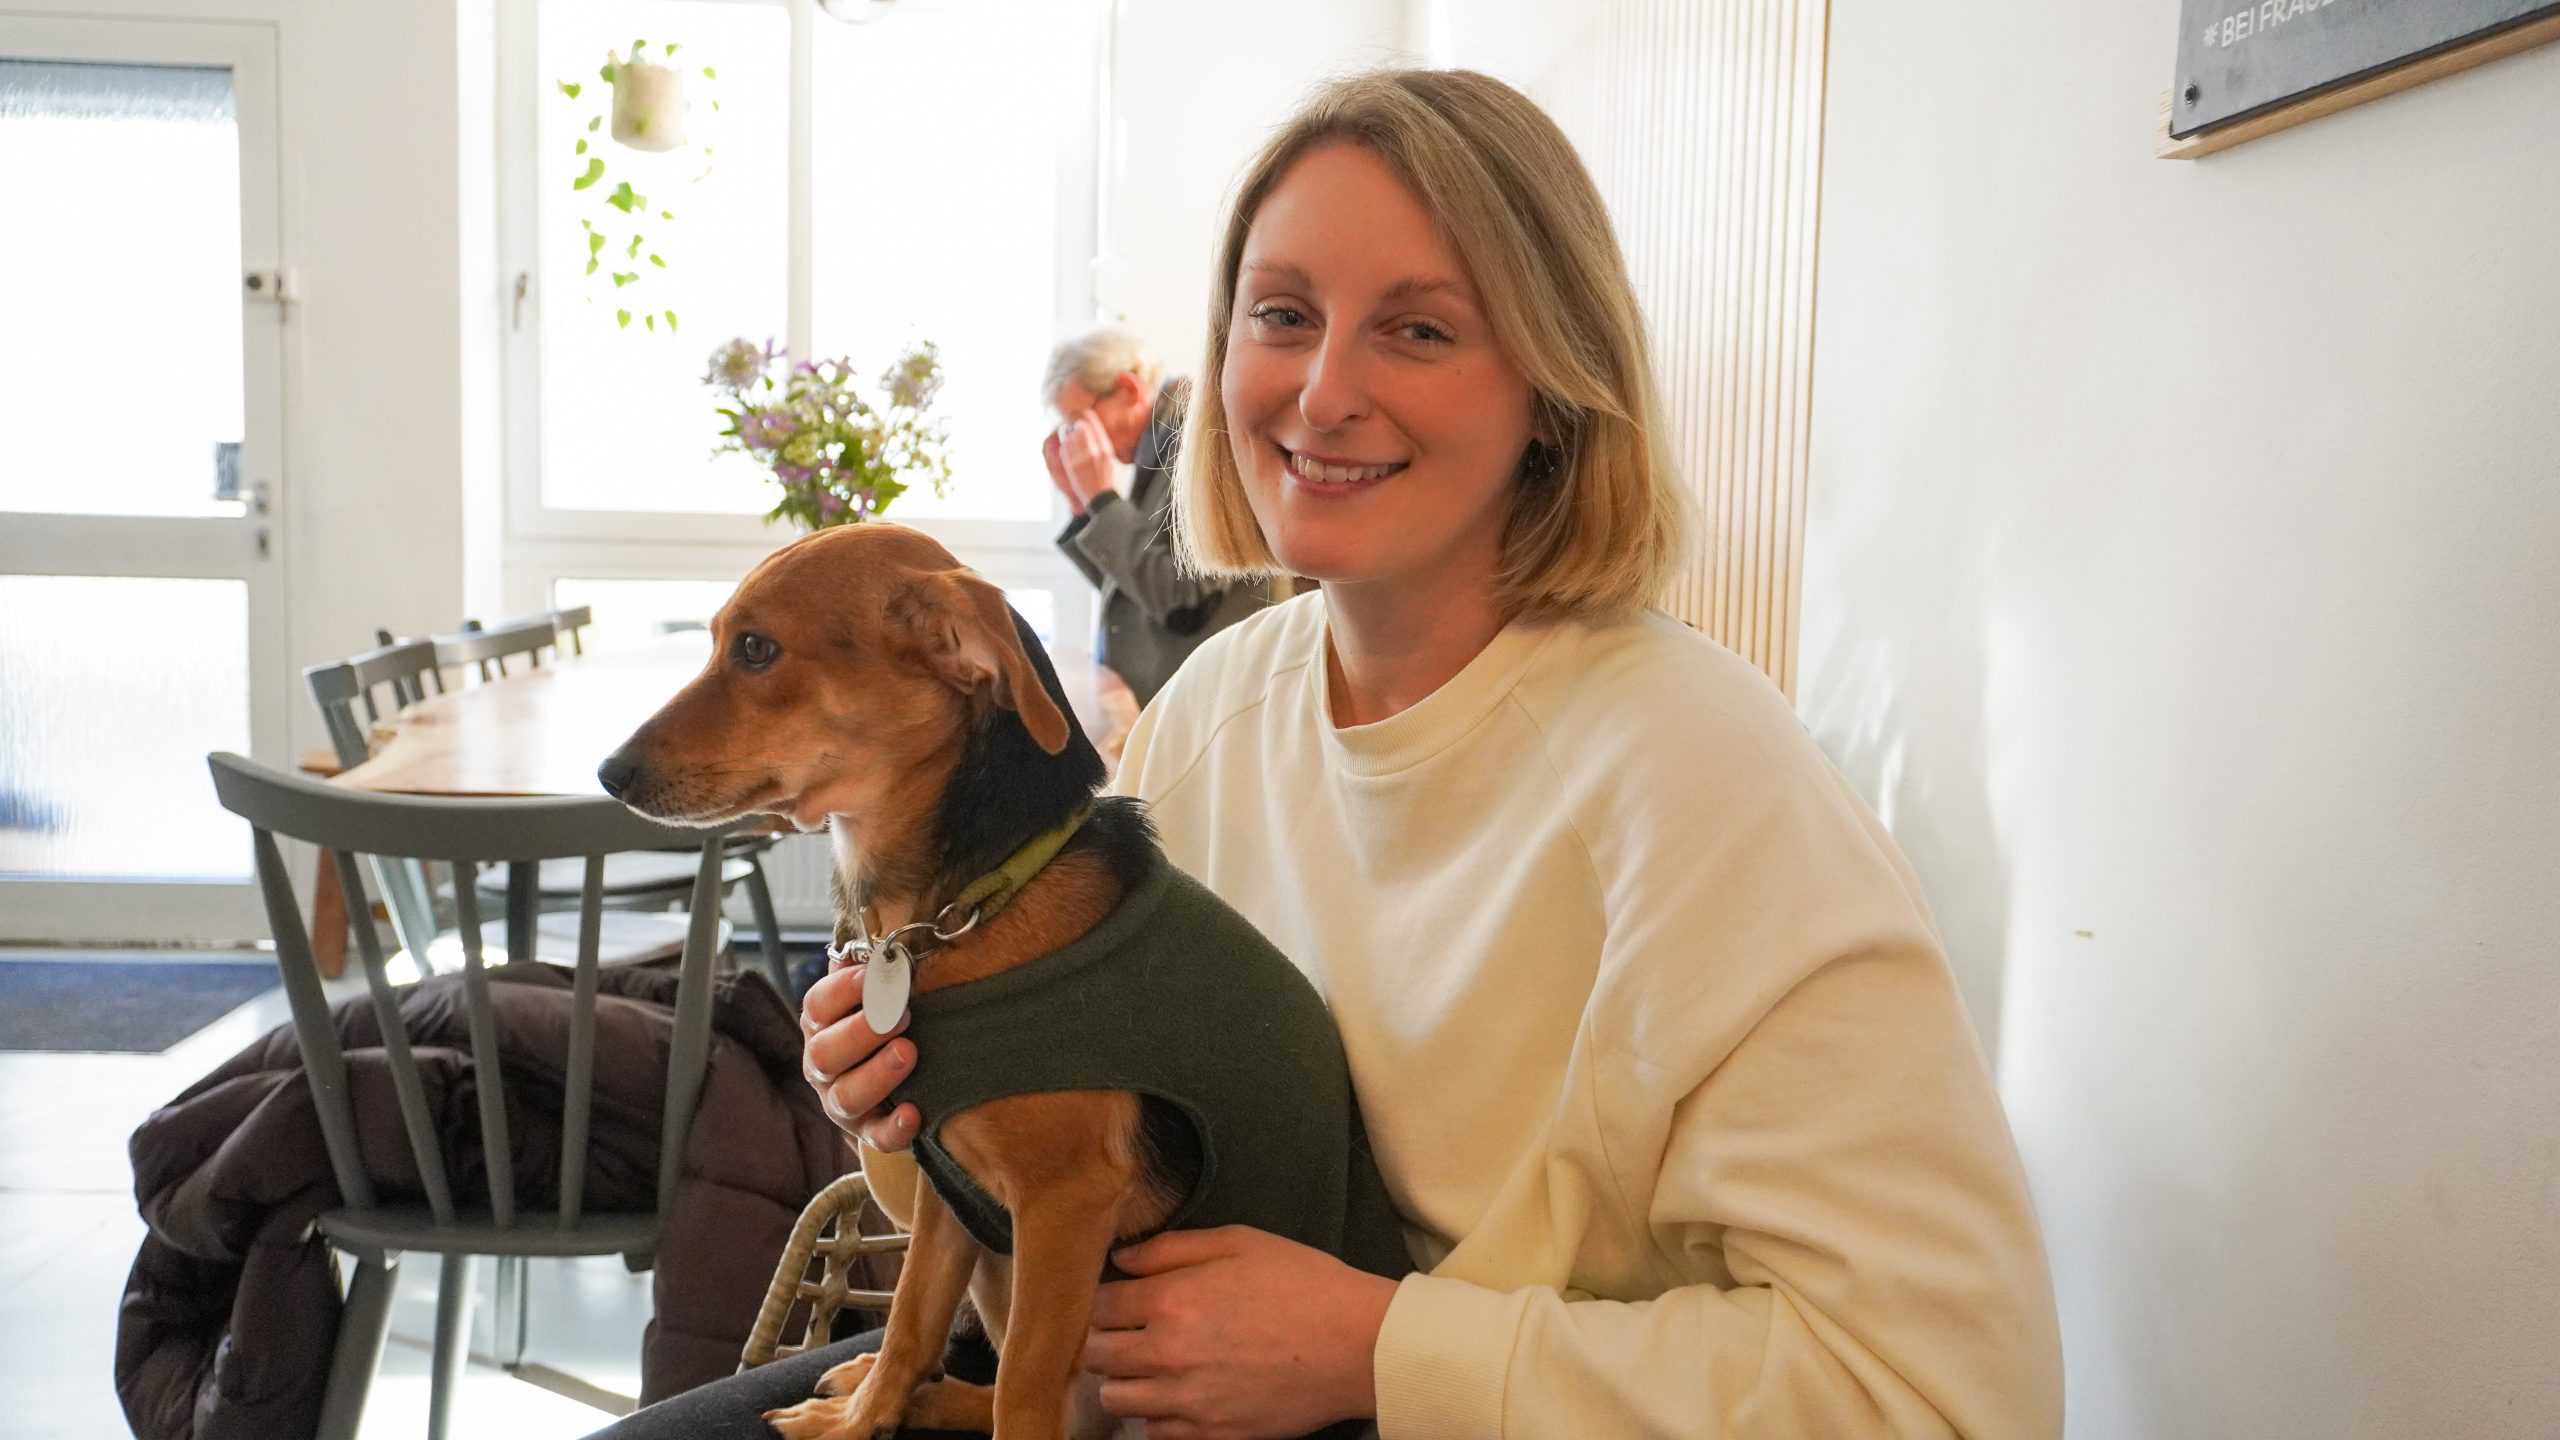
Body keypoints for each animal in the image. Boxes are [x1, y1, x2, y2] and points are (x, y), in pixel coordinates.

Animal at [599, 525, 1402, 1434]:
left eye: (756, 649)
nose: (608, 774)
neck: (971, 903)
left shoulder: (1066, 1206)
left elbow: (1021, 1380)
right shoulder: (950, 1190)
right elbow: (913, 1318)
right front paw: (864, 1415)